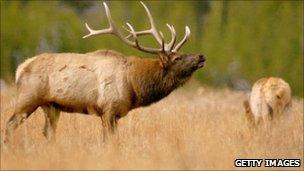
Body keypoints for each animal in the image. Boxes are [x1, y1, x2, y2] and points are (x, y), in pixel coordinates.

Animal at [4, 2, 205, 142]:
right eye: (177, 58)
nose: (201, 56)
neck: (133, 86)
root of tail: (20, 68)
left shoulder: (114, 114)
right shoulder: (108, 109)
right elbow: (109, 141)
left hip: (51, 106)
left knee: (47, 132)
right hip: (28, 98)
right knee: (9, 125)